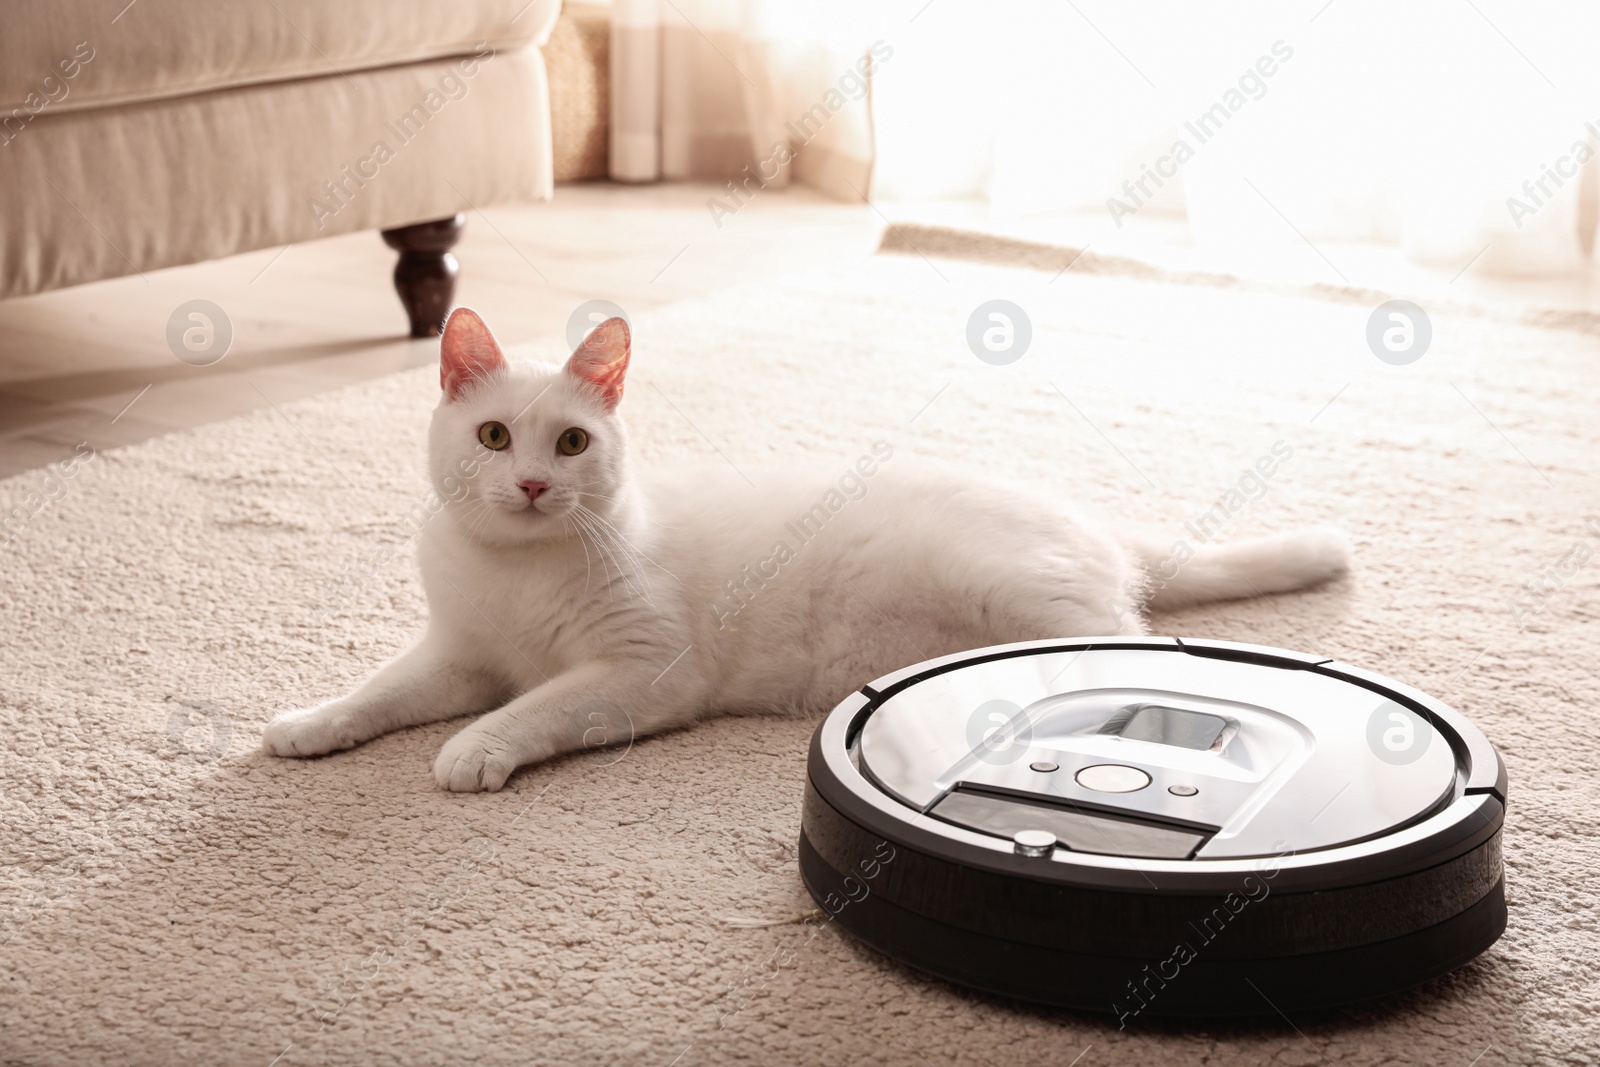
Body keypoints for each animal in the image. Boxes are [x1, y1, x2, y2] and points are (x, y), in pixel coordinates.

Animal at [265, 308, 1350, 793]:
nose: (532, 484)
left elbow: (530, 707)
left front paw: (474, 749)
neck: (517, 571)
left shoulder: (641, 671)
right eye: (494, 437)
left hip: (1032, 601)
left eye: (569, 443)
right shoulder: (456, 655)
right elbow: (378, 691)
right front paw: (310, 723)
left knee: (1146, 652)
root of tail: (1083, 517)